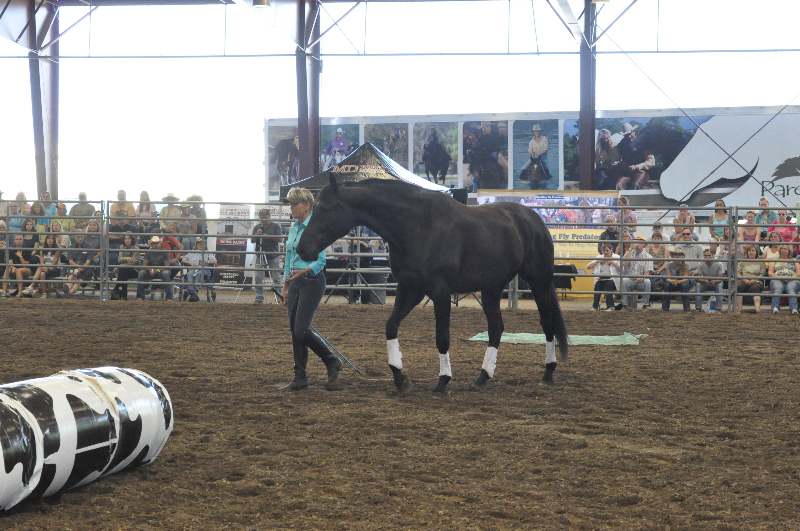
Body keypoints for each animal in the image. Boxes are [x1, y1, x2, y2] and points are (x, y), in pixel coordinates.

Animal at [296, 175, 569, 397]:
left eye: (325, 208)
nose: (301, 249)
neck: (416, 225)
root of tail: (533, 219)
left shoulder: (440, 292)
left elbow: (442, 338)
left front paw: (442, 382)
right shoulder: (409, 289)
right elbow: (390, 327)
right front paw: (401, 379)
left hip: (538, 282)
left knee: (547, 324)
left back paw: (548, 373)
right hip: (491, 289)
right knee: (496, 328)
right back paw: (482, 377)